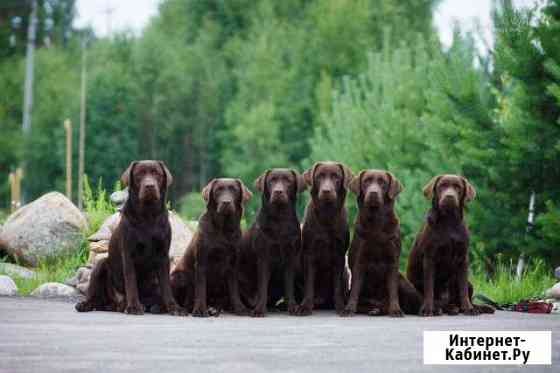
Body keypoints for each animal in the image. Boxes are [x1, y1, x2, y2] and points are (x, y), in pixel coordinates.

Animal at [74, 159, 183, 314]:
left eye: (157, 173)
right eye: (139, 174)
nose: (149, 186)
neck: (148, 215)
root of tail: (115, 304)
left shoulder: (163, 255)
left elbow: (166, 286)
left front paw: (174, 307)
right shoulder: (128, 253)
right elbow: (131, 282)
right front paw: (134, 306)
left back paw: (155, 306)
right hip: (101, 265)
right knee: (93, 295)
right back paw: (86, 304)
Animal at [170, 178, 250, 316]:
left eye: (234, 189)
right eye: (218, 190)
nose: (226, 202)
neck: (223, 229)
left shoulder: (233, 265)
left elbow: (234, 291)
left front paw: (240, 308)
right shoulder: (201, 262)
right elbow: (201, 289)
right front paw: (200, 310)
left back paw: (214, 309)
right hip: (180, 276)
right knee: (185, 300)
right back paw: (185, 310)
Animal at [238, 169, 304, 316]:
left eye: (288, 180)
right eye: (271, 180)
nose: (278, 192)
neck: (279, 220)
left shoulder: (290, 258)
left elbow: (289, 287)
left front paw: (292, 307)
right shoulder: (264, 257)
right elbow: (263, 286)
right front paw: (259, 310)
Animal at [296, 160, 352, 314]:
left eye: (336, 177)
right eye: (319, 176)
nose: (327, 191)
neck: (327, 216)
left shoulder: (339, 254)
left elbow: (337, 286)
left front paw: (341, 307)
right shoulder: (309, 254)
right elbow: (309, 283)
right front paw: (305, 306)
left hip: (346, 272)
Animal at [344, 170, 422, 316]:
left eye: (382, 182)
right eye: (366, 181)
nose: (373, 193)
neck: (376, 223)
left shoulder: (392, 261)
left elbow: (393, 290)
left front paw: (396, 310)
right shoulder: (359, 261)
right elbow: (355, 289)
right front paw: (349, 309)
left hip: (402, 280)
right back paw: (374, 310)